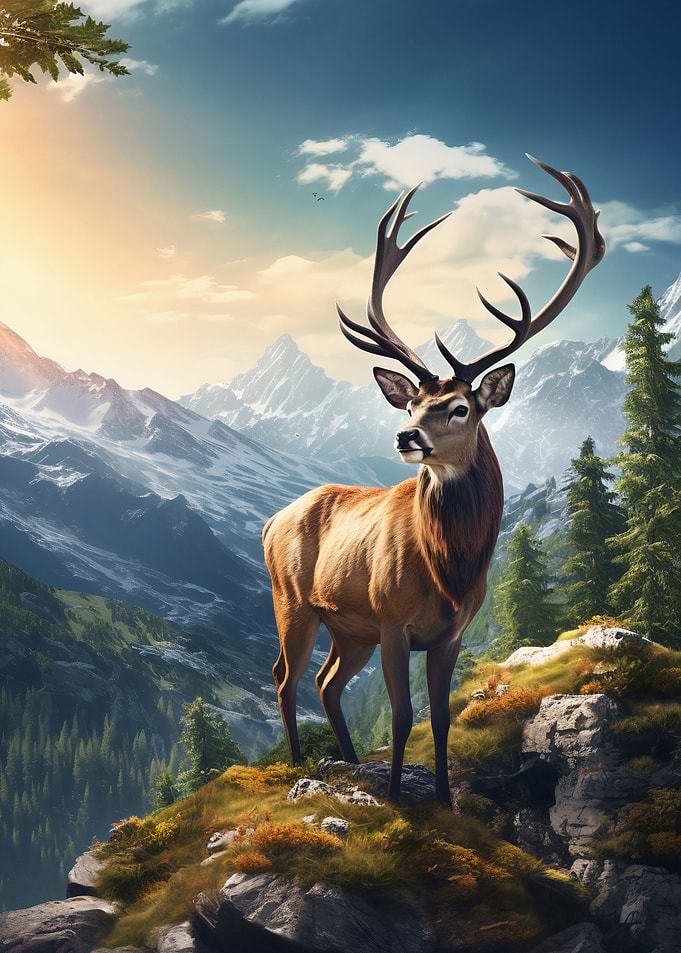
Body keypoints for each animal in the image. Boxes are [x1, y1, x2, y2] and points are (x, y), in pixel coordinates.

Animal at [263, 155, 605, 807]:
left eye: (461, 408)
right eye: (412, 402)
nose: (406, 437)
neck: (447, 569)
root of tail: (271, 521)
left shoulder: (450, 634)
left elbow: (439, 718)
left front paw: (443, 798)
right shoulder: (394, 620)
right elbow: (401, 716)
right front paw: (399, 799)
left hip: (351, 627)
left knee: (326, 682)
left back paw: (348, 763)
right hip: (293, 599)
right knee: (285, 678)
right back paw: (298, 766)